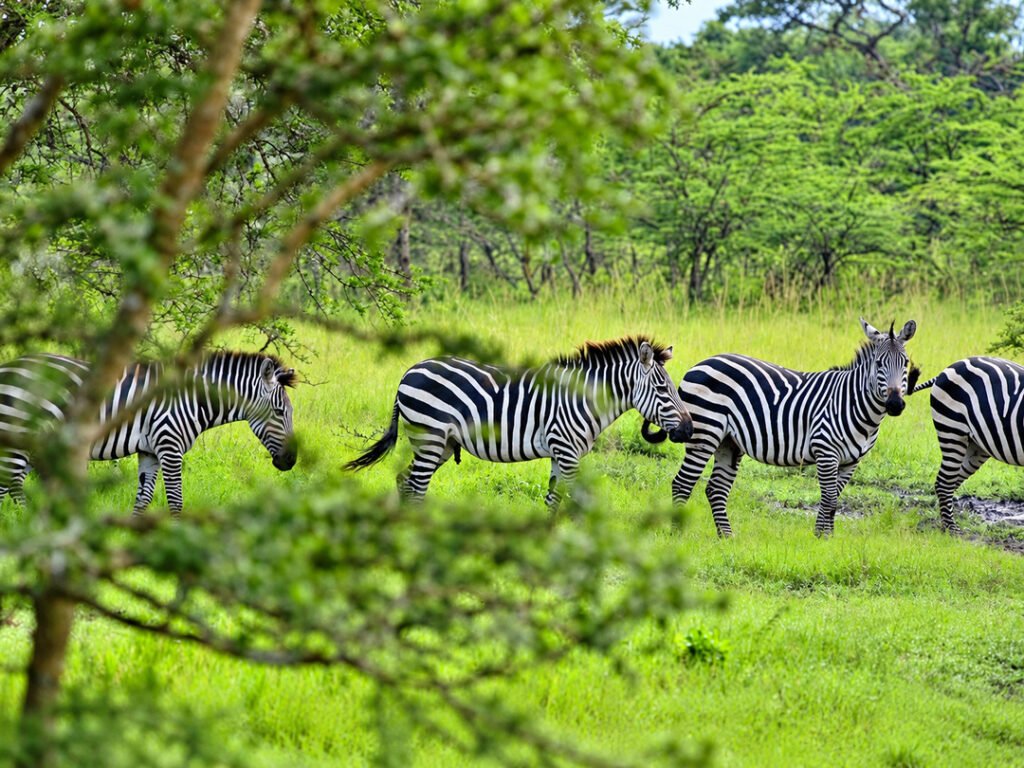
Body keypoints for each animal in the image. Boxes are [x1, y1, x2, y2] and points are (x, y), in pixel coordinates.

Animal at [0, 351, 297, 516]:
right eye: (279, 412)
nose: (291, 461)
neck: (192, 399)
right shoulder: (169, 445)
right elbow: (176, 500)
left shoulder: (150, 452)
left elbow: (143, 500)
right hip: (18, 434)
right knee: (9, 484)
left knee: (9, 486)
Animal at [345, 336, 693, 511]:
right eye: (663, 389)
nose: (689, 430)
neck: (583, 399)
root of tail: (410, 370)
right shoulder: (567, 451)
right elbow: (572, 500)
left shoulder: (560, 453)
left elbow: (554, 498)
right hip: (430, 437)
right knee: (417, 485)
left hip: (438, 444)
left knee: (405, 479)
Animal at [642, 319, 919, 537]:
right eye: (879, 364)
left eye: (905, 363)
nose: (895, 404)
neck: (853, 404)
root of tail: (702, 362)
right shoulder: (826, 451)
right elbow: (829, 499)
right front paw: (822, 540)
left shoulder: (851, 461)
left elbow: (833, 501)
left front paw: (825, 537)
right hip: (705, 433)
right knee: (682, 483)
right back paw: (678, 534)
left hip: (728, 441)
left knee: (716, 489)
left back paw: (727, 537)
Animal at [911, 356, 1024, 533]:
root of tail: (947, 368)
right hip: (952, 430)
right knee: (944, 482)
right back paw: (952, 530)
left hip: (976, 446)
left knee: (949, 482)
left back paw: (945, 523)